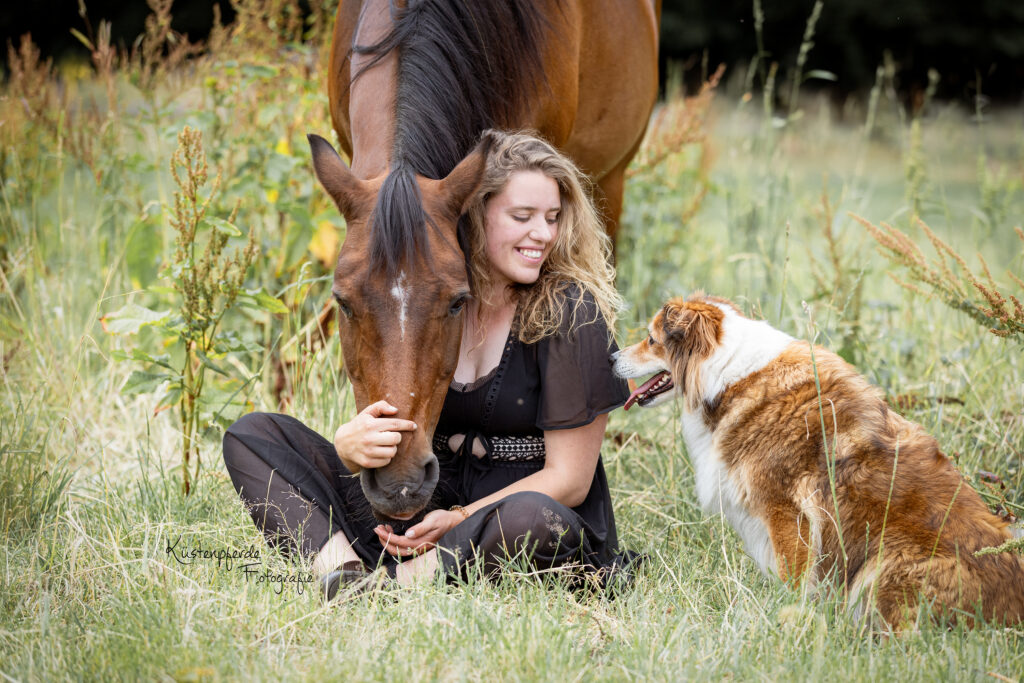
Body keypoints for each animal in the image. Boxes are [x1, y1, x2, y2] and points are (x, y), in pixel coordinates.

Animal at [610, 292, 1019, 626]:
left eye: (651, 339)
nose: (611, 356)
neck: (729, 374)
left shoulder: (786, 513)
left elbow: (794, 576)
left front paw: (786, 614)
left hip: (886, 564)